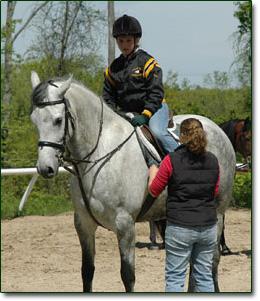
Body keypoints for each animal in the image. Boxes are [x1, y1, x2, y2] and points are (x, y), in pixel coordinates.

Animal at [30, 71, 236, 292]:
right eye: (34, 120)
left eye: (58, 120)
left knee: (212, 259)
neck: (100, 153)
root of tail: (217, 129)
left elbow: (127, 275)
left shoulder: (125, 224)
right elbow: (87, 271)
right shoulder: (83, 224)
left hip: (217, 213)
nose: (45, 168)